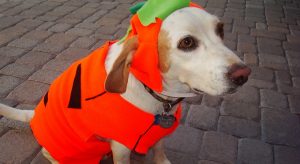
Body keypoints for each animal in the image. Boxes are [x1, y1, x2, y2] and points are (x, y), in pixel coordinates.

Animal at [0, 4, 251, 163]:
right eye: (187, 42)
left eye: (220, 29)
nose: (244, 74)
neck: (157, 97)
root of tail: (33, 115)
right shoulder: (121, 148)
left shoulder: (159, 134)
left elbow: (159, 150)